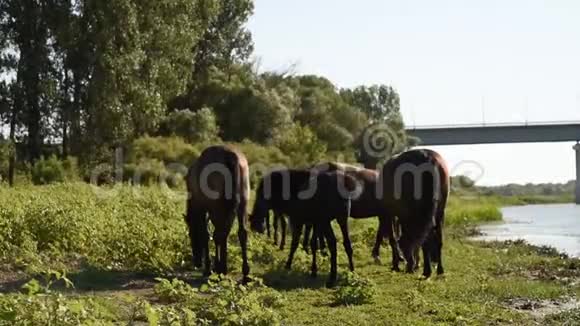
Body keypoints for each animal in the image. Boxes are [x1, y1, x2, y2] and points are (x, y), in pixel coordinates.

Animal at [185, 145, 250, 280]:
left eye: (190, 235)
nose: (197, 262)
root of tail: (231, 156)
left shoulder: (202, 208)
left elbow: (206, 235)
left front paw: (209, 268)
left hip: (218, 206)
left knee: (220, 234)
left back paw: (221, 268)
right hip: (242, 203)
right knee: (241, 232)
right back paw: (244, 272)